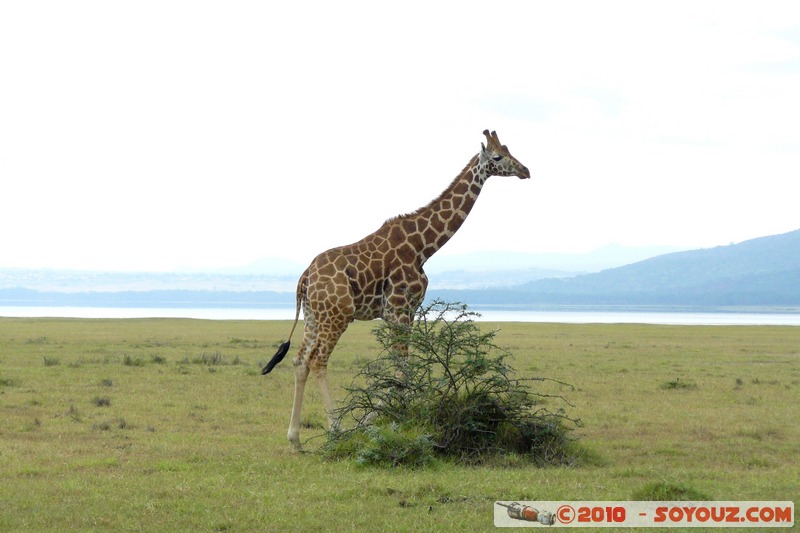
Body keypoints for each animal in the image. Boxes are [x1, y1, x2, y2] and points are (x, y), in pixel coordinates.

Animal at [262, 129, 530, 450]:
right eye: (498, 157)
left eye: (510, 150)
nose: (525, 170)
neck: (423, 246)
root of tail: (305, 278)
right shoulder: (398, 308)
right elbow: (402, 370)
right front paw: (377, 422)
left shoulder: (407, 312)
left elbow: (401, 369)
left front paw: (388, 419)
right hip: (338, 315)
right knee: (317, 360)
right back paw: (337, 430)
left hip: (314, 316)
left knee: (300, 360)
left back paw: (295, 439)